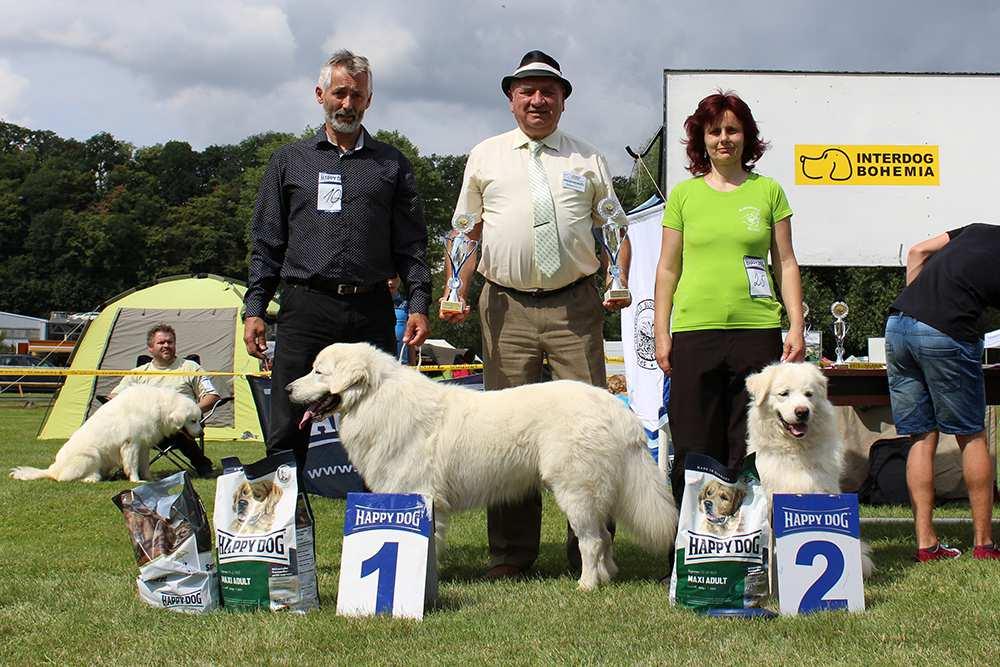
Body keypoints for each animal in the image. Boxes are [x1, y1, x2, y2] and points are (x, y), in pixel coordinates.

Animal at [10, 386, 203, 486]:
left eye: (198, 420)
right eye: (193, 420)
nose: (201, 432)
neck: (160, 406)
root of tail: (52, 470)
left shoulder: (144, 445)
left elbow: (144, 465)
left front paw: (149, 479)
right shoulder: (131, 444)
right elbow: (133, 465)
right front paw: (136, 481)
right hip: (91, 454)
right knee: (67, 478)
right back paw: (92, 478)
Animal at [290, 344, 680, 588]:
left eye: (318, 371)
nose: (288, 388)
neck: (375, 398)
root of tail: (618, 408)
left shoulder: (423, 495)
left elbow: (427, 542)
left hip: (575, 490)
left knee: (592, 541)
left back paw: (587, 584)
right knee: (606, 538)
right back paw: (607, 576)